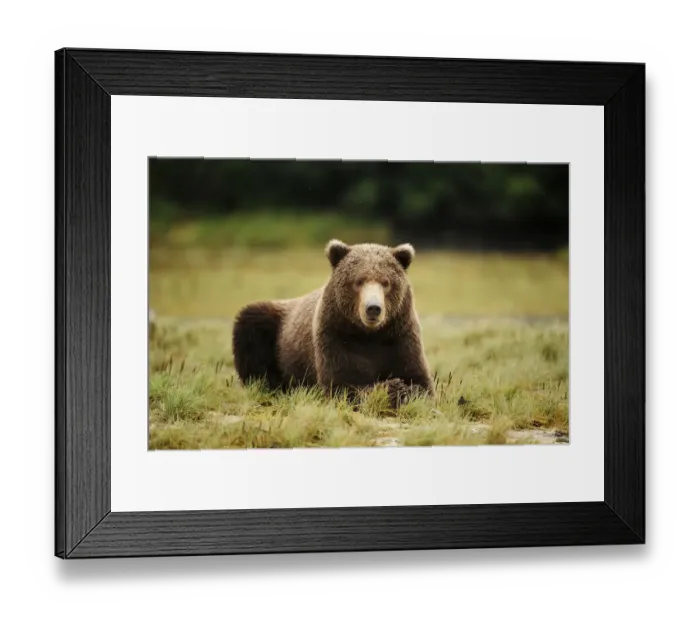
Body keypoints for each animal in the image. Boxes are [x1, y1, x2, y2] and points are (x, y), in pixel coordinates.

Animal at [232, 239, 434, 408]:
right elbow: (341, 385)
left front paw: (405, 389)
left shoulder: (400, 335)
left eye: (386, 282)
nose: (373, 308)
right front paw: (393, 388)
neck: (369, 334)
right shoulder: (336, 335)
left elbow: (420, 381)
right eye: (358, 281)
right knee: (251, 330)